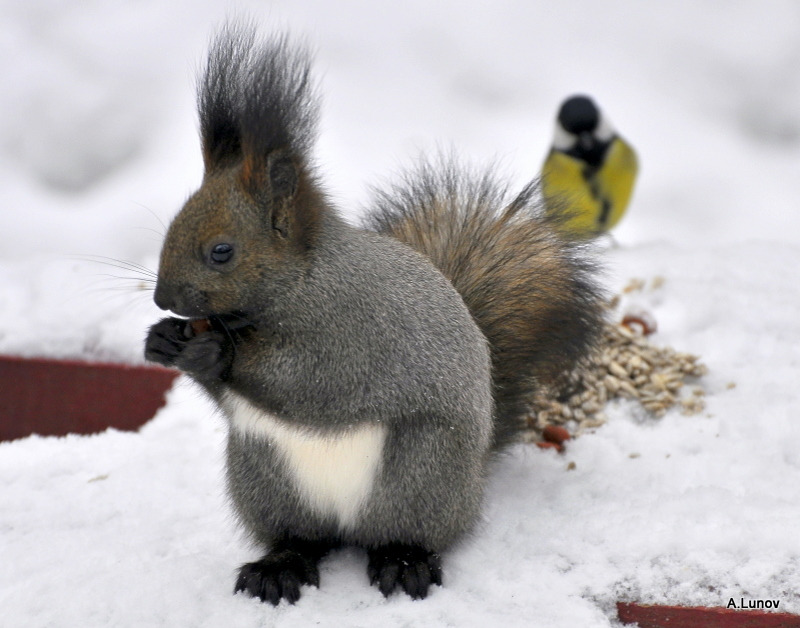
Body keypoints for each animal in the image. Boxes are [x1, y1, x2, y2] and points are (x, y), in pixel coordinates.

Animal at [147, 23, 604, 604]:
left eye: (222, 251)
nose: (163, 300)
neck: (300, 284)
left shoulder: (358, 330)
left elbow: (313, 380)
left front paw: (217, 351)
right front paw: (163, 341)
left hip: (420, 471)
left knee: (403, 533)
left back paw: (403, 562)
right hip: (263, 475)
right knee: (303, 537)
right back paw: (279, 566)